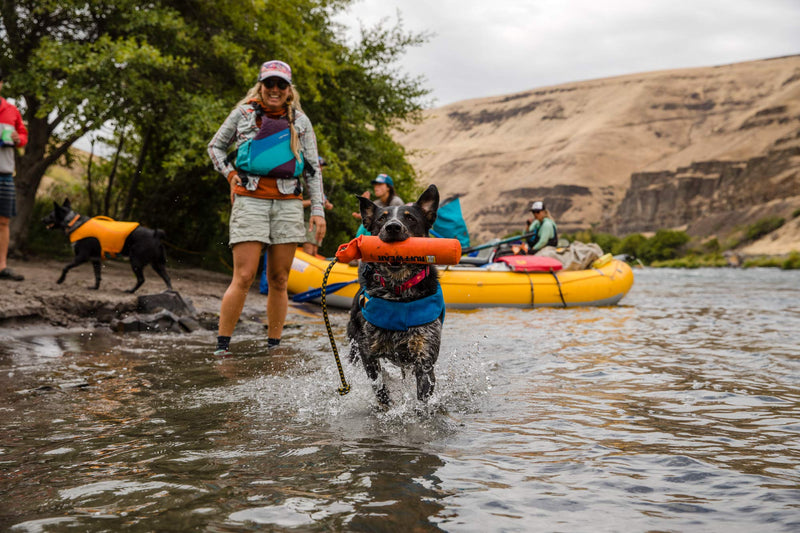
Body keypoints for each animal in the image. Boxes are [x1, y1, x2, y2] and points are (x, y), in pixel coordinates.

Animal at [346, 185, 444, 406]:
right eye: (381, 219)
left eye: (410, 218)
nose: (392, 227)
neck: (398, 291)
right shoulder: (367, 351)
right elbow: (379, 387)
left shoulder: (424, 355)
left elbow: (422, 400)